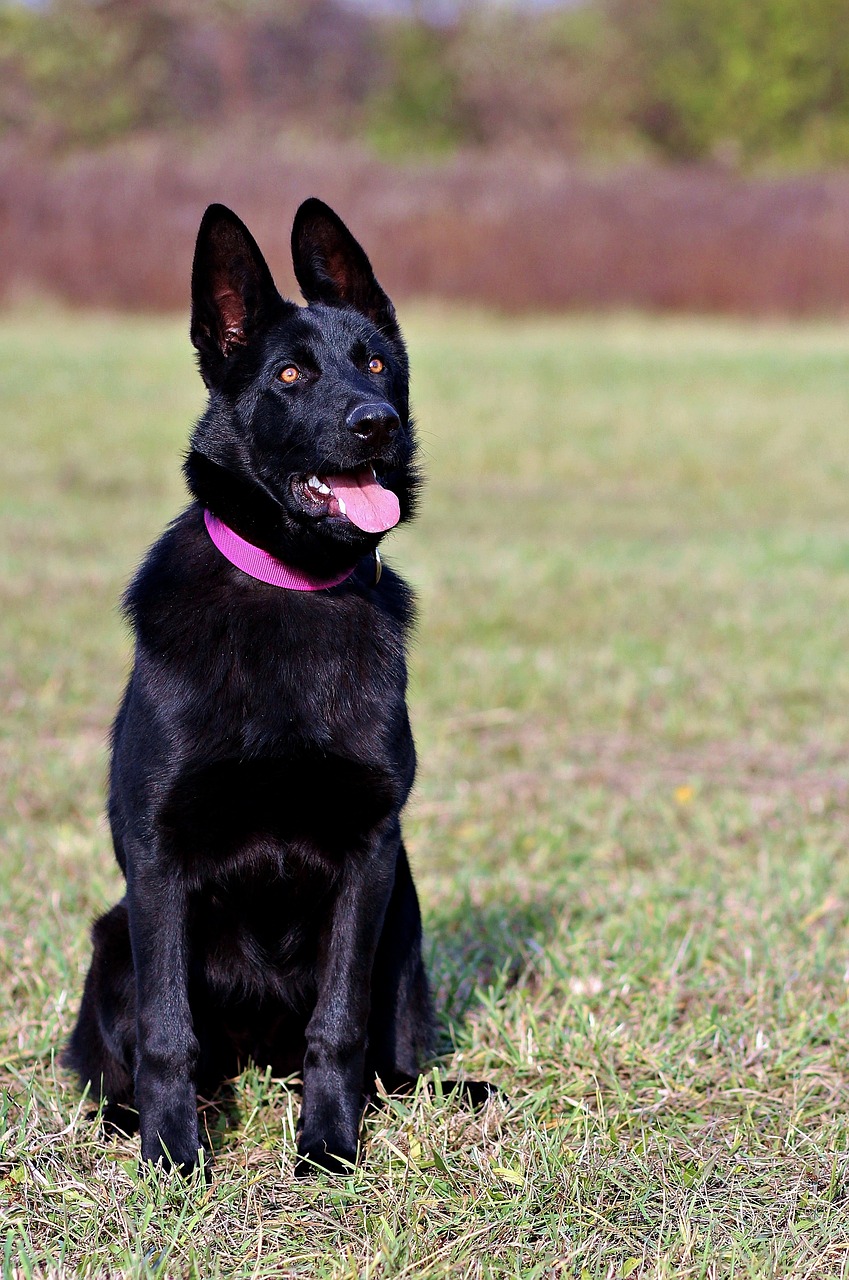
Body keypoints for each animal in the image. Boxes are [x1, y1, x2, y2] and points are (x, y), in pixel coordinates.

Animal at [65, 197, 437, 1177]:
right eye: (290, 373)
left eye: (375, 362)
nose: (375, 422)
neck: (291, 586)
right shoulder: (157, 858)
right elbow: (167, 1033)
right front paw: (172, 1159)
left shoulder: (369, 852)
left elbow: (337, 1027)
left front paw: (328, 1148)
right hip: (112, 938)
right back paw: (132, 1118)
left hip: (404, 925)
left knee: (389, 1058)